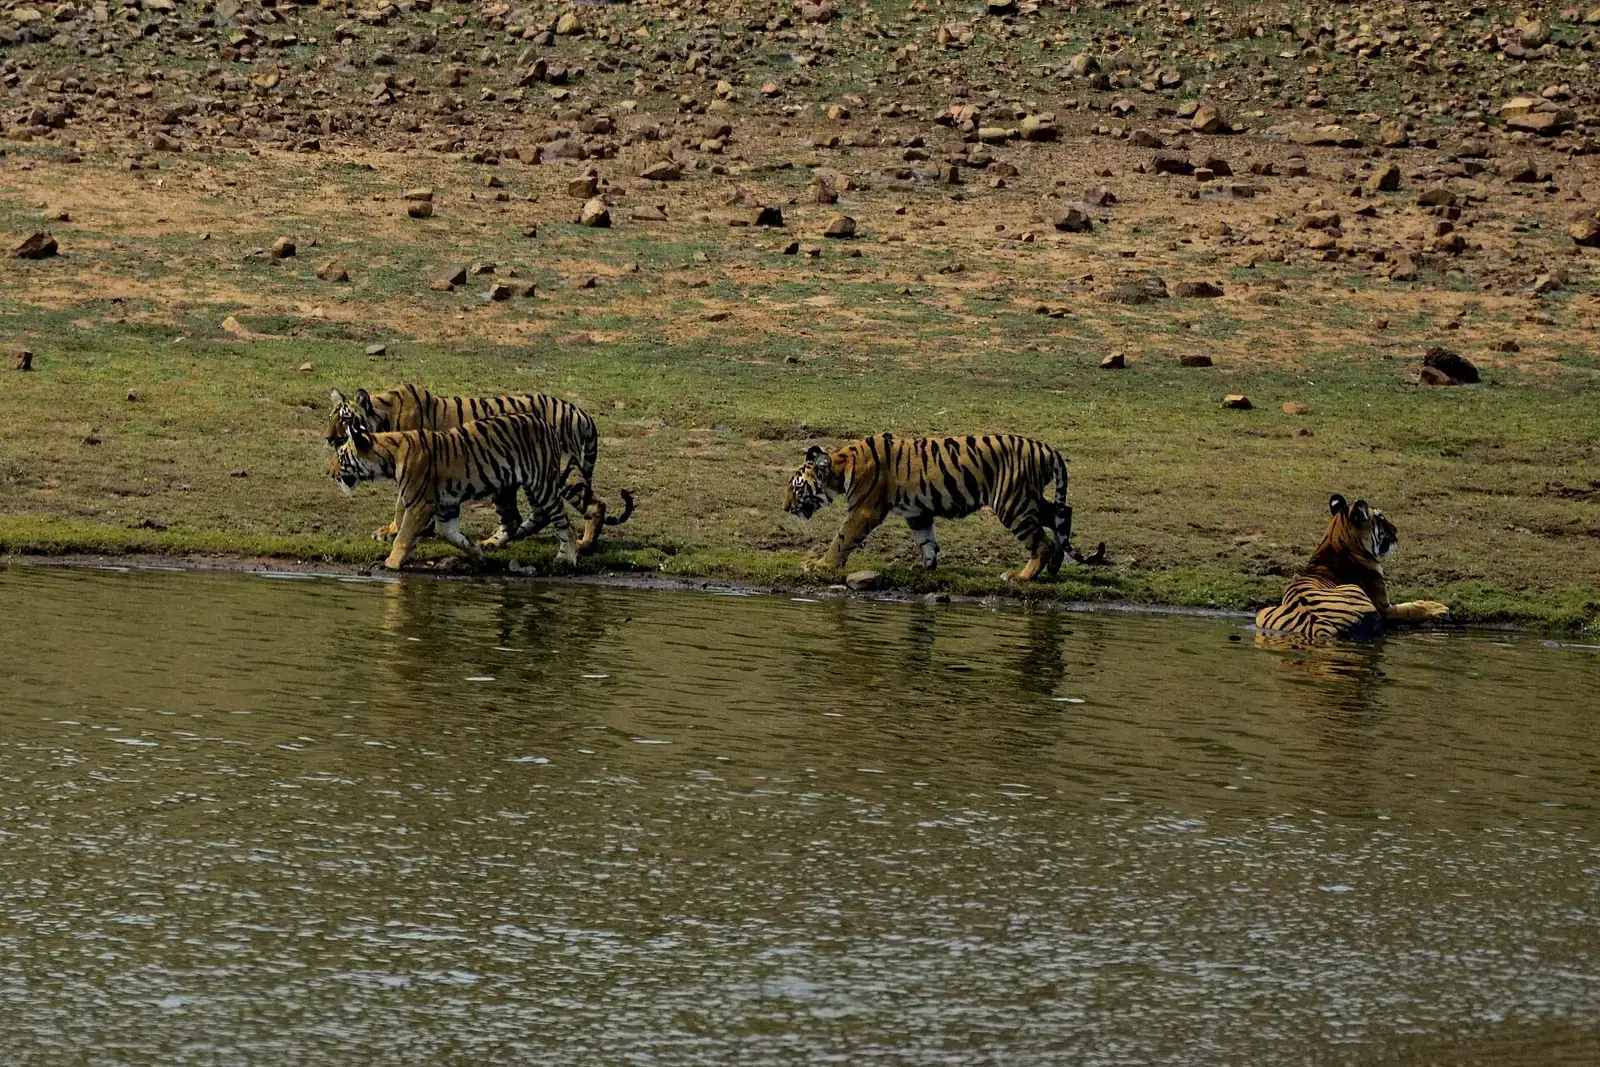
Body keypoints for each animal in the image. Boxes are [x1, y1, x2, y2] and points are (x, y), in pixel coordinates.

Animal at [325, 384, 627, 549]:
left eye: (345, 419)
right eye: (331, 418)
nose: (328, 438)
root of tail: (581, 413)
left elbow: (401, 505)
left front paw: (391, 532)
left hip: (561, 472)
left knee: (595, 505)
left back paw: (584, 544)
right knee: (537, 514)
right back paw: (500, 540)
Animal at [785, 432, 1082, 581]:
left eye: (797, 488)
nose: (786, 508)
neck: (841, 466)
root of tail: (1047, 448)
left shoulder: (863, 511)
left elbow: (841, 539)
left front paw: (820, 565)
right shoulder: (917, 513)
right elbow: (926, 540)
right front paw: (926, 566)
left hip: (1012, 504)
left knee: (1041, 541)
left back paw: (1021, 577)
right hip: (1027, 498)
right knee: (1062, 514)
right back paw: (1055, 566)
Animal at [1254, 494, 1450, 641]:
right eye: (1381, 517)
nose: (1396, 529)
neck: (1335, 542)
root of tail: (1318, 626)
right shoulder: (1384, 607)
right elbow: (1410, 609)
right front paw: (1438, 607)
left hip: (1262, 612)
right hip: (1356, 591)